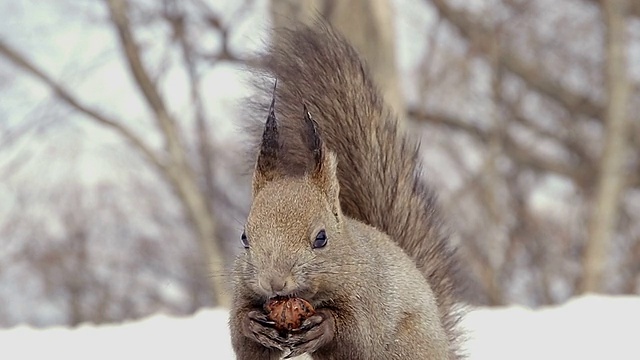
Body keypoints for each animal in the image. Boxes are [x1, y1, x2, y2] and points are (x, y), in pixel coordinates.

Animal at [230, 20, 464, 360]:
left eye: (321, 238)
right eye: (244, 238)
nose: (274, 283)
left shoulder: (370, 297)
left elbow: (358, 335)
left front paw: (324, 326)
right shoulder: (242, 288)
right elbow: (242, 338)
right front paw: (252, 324)